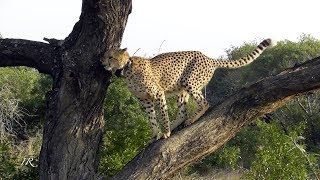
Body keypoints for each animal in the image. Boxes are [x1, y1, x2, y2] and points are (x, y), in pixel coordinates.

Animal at [102, 38, 276, 141]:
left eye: (110, 57)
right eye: (104, 56)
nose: (102, 63)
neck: (126, 69)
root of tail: (208, 58)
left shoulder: (158, 93)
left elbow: (163, 114)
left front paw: (165, 132)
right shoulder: (145, 100)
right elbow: (151, 119)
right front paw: (154, 135)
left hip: (189, 82)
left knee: (205, 103)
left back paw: (191, 119)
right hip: (181, 90)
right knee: (182, 112)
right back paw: (177, 123)